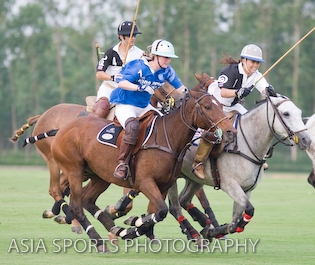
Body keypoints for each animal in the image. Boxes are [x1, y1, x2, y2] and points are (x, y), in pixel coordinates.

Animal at [27, 87, 236, 252]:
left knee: (87, 200)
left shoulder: (164, 185)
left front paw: (132, 228)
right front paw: (133, 227)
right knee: (75, 204)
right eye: (208, 107)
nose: (230, 131)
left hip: (99, 175)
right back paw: (98, 240)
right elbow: (160, 211)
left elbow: (154, 213)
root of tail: (61, 129)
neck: (167, 138)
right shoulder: (145, 182)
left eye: (220, 105)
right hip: (74, 170)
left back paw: (113, 229)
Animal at [168, 91, 314, 241]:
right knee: (175, 207)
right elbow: (249, 210)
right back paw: (192, 234)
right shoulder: (230, 185)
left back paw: (205, 224)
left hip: (195, 179)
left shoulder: (247, 189)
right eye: (286, 114)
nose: (306, 140)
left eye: (299, 112)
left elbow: (235, 223)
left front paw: (213, 231)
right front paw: (212, 231)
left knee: (184, 200)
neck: (247, 144)